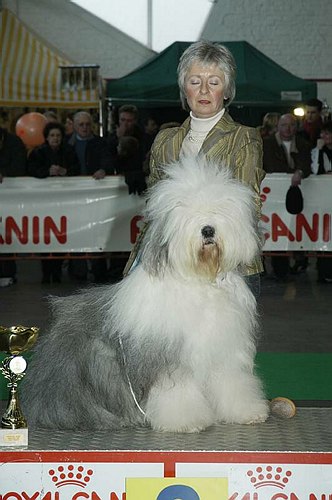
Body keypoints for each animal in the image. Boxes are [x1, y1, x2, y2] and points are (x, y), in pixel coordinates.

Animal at [21, 158, 270, 432]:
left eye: (219, 209)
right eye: (185, 211)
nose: (207, 230)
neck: (199, 282)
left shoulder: (224, 348)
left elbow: (232, 382)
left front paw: (247, 412)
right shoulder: (166, 356)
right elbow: (178, 391)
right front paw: (186, 421)